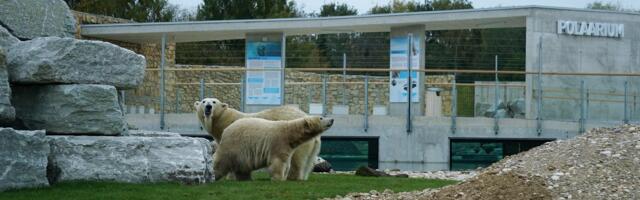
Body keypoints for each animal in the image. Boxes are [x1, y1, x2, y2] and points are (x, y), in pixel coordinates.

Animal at [194, 97, 324, 180]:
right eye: (203, 101)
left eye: (214, 101)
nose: (208, 107)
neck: (224, 119)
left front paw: (230, 177)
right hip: (312, 145)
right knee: (308, 162)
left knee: (297, 160)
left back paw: (292, 177)